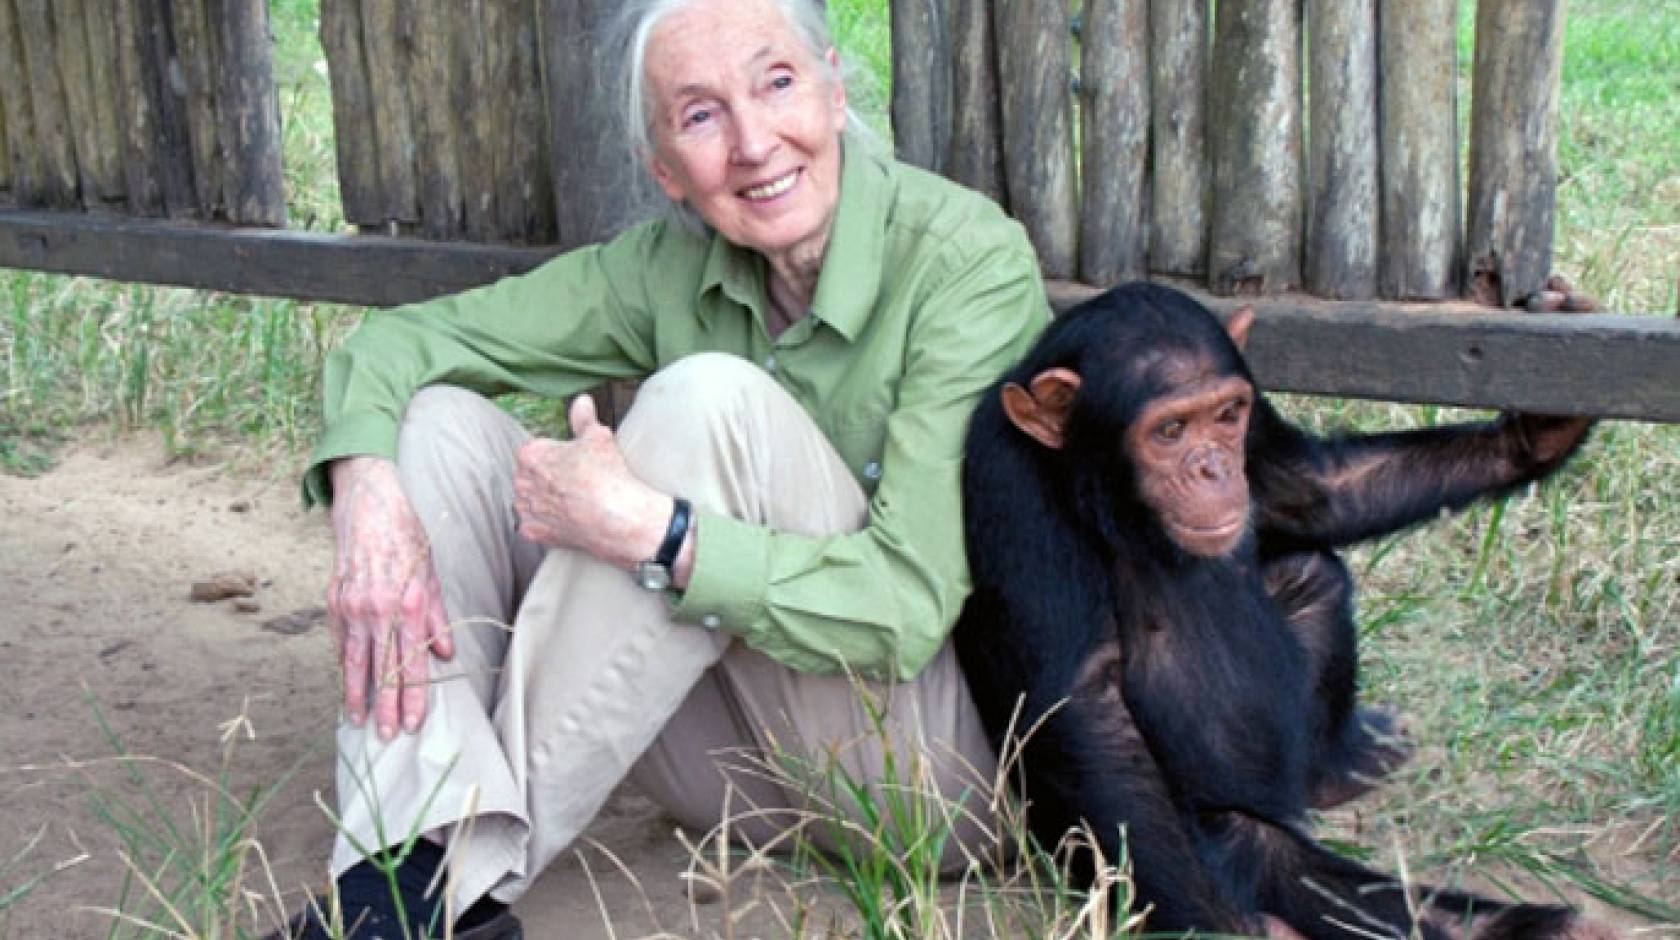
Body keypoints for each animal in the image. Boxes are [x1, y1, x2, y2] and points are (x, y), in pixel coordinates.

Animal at [954, 285, 1606, 940]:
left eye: (1226, 415)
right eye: (1169, 430)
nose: (1214, 468)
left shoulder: (1256, 419)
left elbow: (1313, 489)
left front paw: (1536, 435)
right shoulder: (1011, 483)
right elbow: (1084, 702)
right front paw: (1221, 926)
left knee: (1313, 577)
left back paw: (1339, 769)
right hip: (1198, 824)